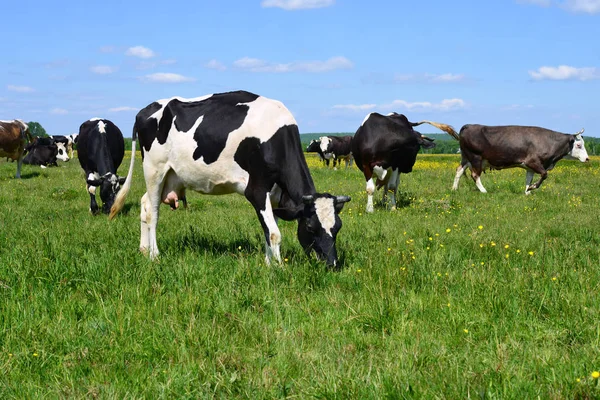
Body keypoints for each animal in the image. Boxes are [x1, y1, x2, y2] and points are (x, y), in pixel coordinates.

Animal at [111, 89, 352, 268]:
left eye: (338, 227)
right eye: (310, 227)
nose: (332, 264)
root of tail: (145, 110)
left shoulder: (272, 195)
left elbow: (267, 230)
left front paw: (269, 263)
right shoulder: (256, 190)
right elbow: (274, 233)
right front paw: (278, 268)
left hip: (171, 176)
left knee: (144, 204)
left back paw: (143, 250)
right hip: (154, 169)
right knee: (152, 212)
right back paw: (154, 255)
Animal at [446, 125, 592, 194]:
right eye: (578, 145)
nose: (587, 158)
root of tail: (468, 125)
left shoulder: (530, 167)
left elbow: (529, 179)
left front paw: (527, 191)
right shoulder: (533, 162)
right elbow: (544, 175)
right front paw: (532, 188)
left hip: (466, 158)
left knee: (459, 171)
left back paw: (454, 189)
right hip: (476, 158)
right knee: (475, 175)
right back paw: (483, 190)